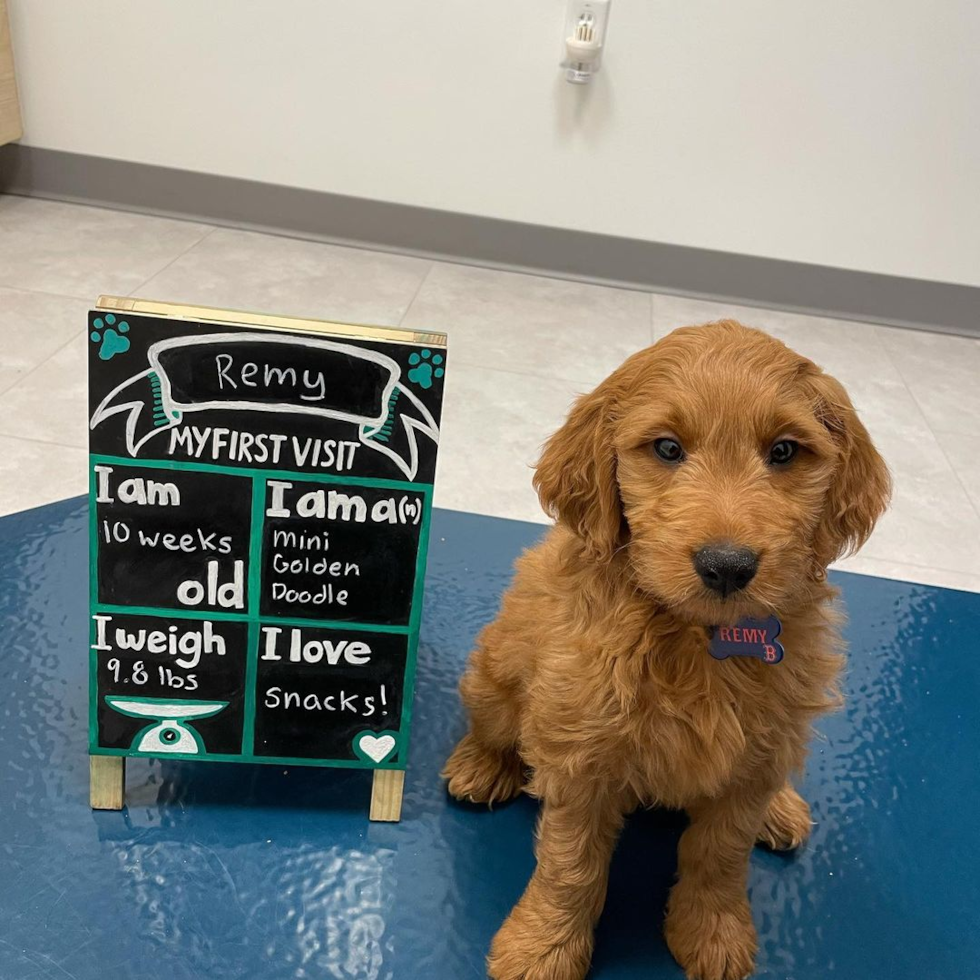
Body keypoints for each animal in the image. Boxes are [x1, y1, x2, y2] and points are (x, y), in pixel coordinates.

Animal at [448, 322, 892, 980]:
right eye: (666, 448)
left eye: (785, 452)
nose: (727, 566)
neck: (696, 639)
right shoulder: (581, 752)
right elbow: (569, 866)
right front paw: (542, 948)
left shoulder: (753, 757)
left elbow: (721, 854)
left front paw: (712, 933)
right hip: (496, 669)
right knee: (492, 722)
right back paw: (479, 765)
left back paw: (781, 808)